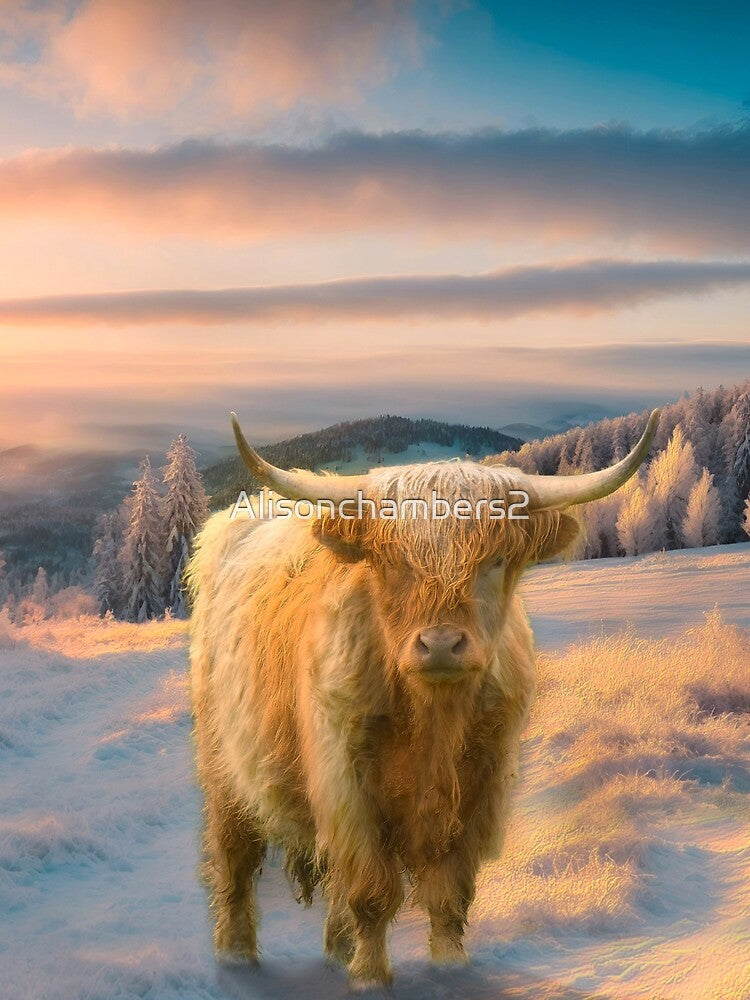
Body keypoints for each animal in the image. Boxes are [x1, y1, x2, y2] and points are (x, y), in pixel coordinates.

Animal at [187, 409, 660, 987]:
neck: (432, 721)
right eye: (393, 562)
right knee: (234, 858)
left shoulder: (482, 784)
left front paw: (449, 969)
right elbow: (371, 890)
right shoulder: (346, 783)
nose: (440, 644)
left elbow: (450, 894)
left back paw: (335, 949)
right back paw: (236, 954)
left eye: (496, 559)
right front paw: (369, 977)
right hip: (224, 764)